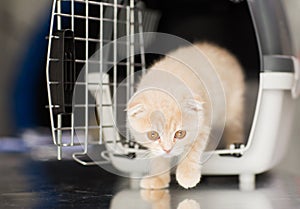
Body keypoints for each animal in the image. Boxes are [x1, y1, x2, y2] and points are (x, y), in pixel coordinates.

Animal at [125, 42, 245, 189]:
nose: (167, 150)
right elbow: (157, 156)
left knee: (235, 130)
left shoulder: (203, 124)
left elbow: (192, 149)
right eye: (153, 134)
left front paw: (187, 176)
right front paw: (158, 178)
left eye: (180, 133)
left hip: (232, 109)